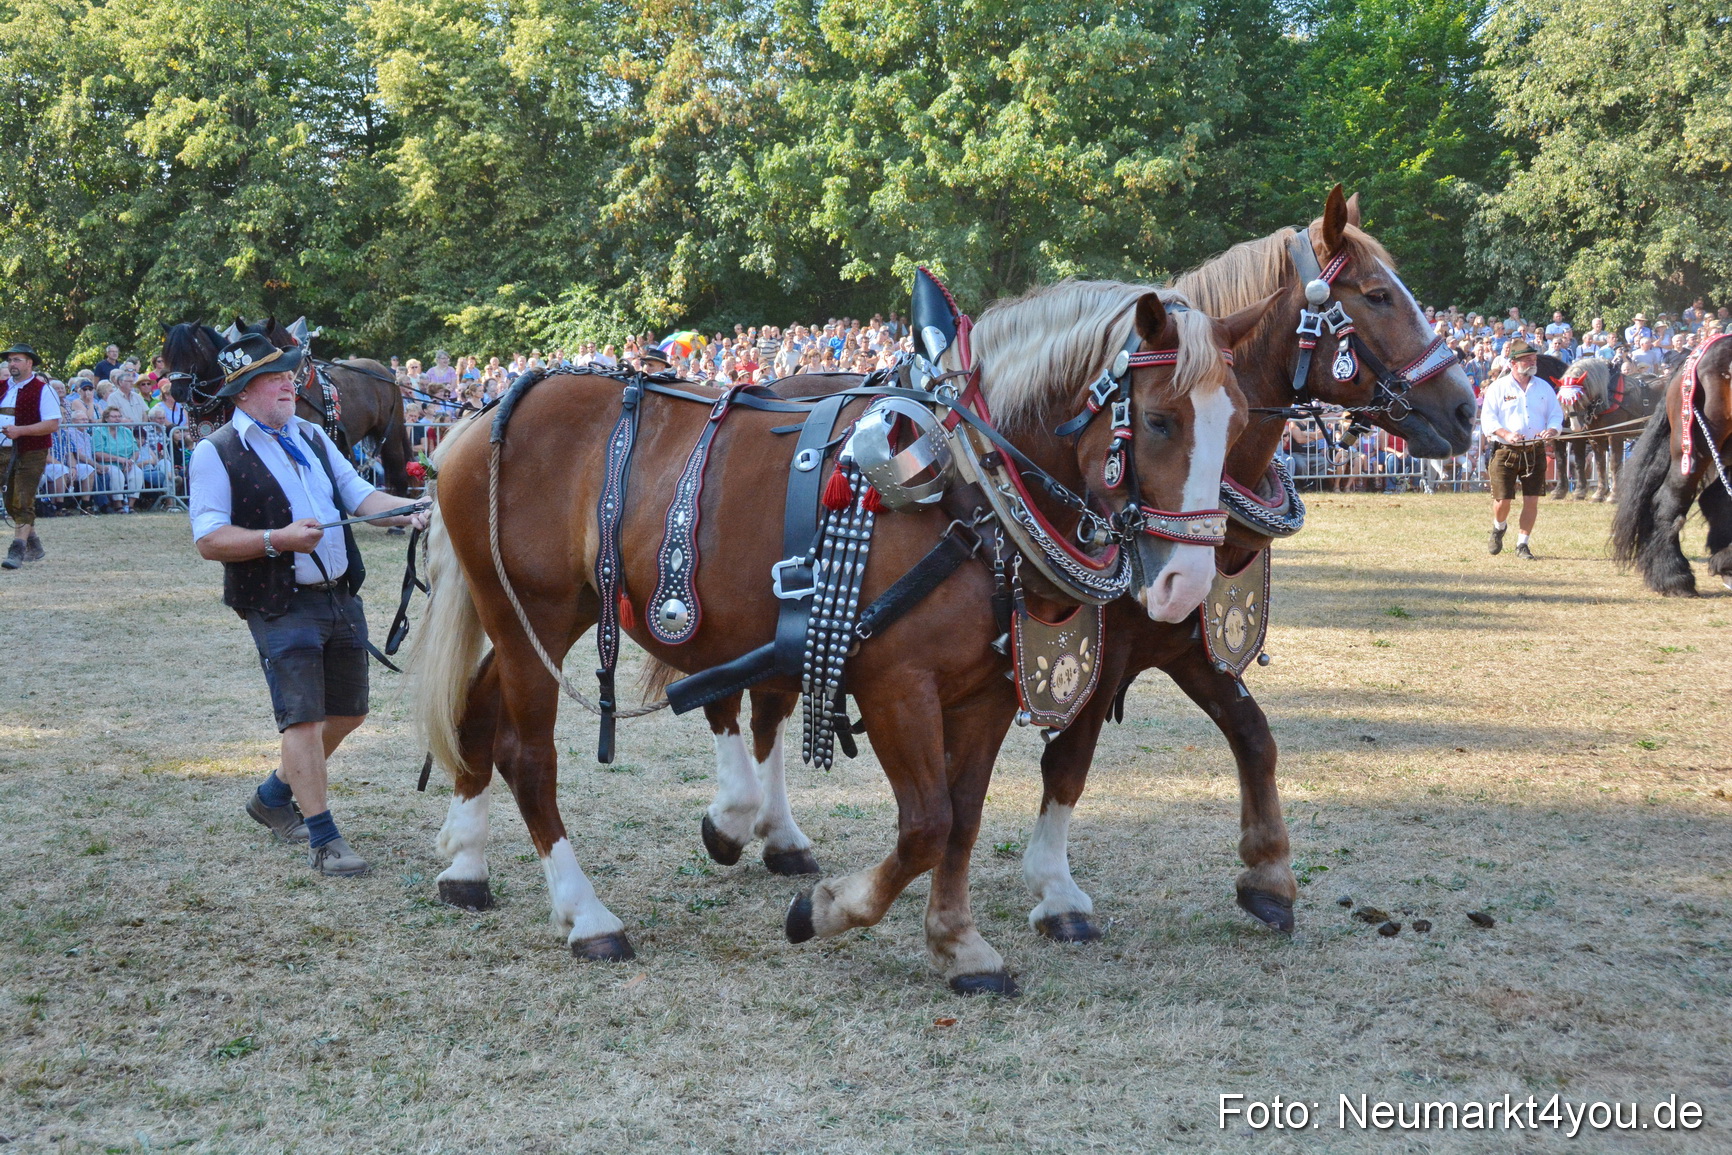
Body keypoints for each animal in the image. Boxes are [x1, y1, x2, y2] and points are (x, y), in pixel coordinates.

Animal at [161, 319, 413, 494]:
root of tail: (386, 374)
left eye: (190, 351)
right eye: (167, 355)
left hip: (390, 432)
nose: (177, 391)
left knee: (397, 465)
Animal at [414, 281, 1267, 993]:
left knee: (479, 716)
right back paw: (587, 914)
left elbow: (963, 818)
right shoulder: (895, 683)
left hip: (548, 617)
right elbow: (926, 824)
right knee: (530, 757)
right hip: (533, 613)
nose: (1185, 585)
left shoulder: (987, 691)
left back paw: (465, 864)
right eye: (1157, 419)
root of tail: (484, 414)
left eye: (1239, 422)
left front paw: (959, 943)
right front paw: (823, 910)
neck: (970, 485)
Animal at [676, 186, 1477, 943]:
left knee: (769, 704)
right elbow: (1071, 760)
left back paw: (779, 836)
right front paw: (1057, 893)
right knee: (726, 695)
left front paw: (1269, 876)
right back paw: (735, 818)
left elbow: (1254, 735)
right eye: (1377, 294)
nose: (1467, 409)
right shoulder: (1098, 647)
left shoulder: (1182, 640)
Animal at [1551, 358, 1661, 502]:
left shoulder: (1614, 435)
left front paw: (1613, 495)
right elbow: (1599, 464)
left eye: (1580, 398)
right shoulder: (1595, 437)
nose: (1576, 427)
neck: (1606, 397)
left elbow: (1614, 463)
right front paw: (1599, 493)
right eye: (1562, 402)